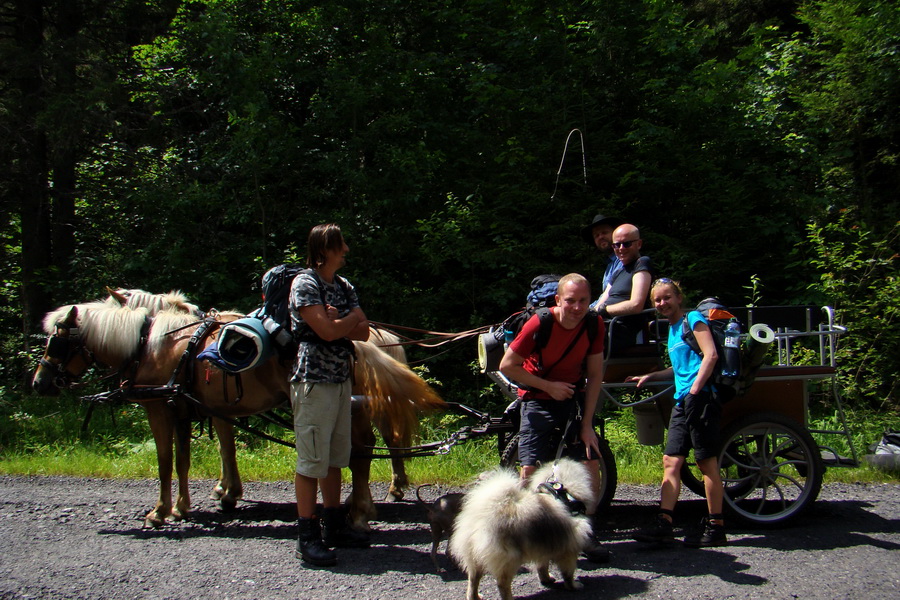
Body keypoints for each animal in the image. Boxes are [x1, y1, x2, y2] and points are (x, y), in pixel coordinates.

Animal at [33, 298, 444, 528]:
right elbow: (191, 457)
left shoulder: (161, 408)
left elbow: (167, 460)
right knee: (372, 446)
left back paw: (363, 507)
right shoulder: (189, 407)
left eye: (56, 341)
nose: (39, 382)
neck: (156, 348)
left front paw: (162, 511)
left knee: (365, 448)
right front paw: (192, 503)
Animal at [450, 460, 596, 600]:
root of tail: (480, 517)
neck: (565, 494)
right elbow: (568, 573)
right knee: (502, 584)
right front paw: (573, 586)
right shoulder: (569, 550)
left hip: (475, 557)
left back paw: (474, 596)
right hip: (510, 559)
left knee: (473, 579)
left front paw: (547, 579)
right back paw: (509, 597)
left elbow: (542, 567)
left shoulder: (542, 546)